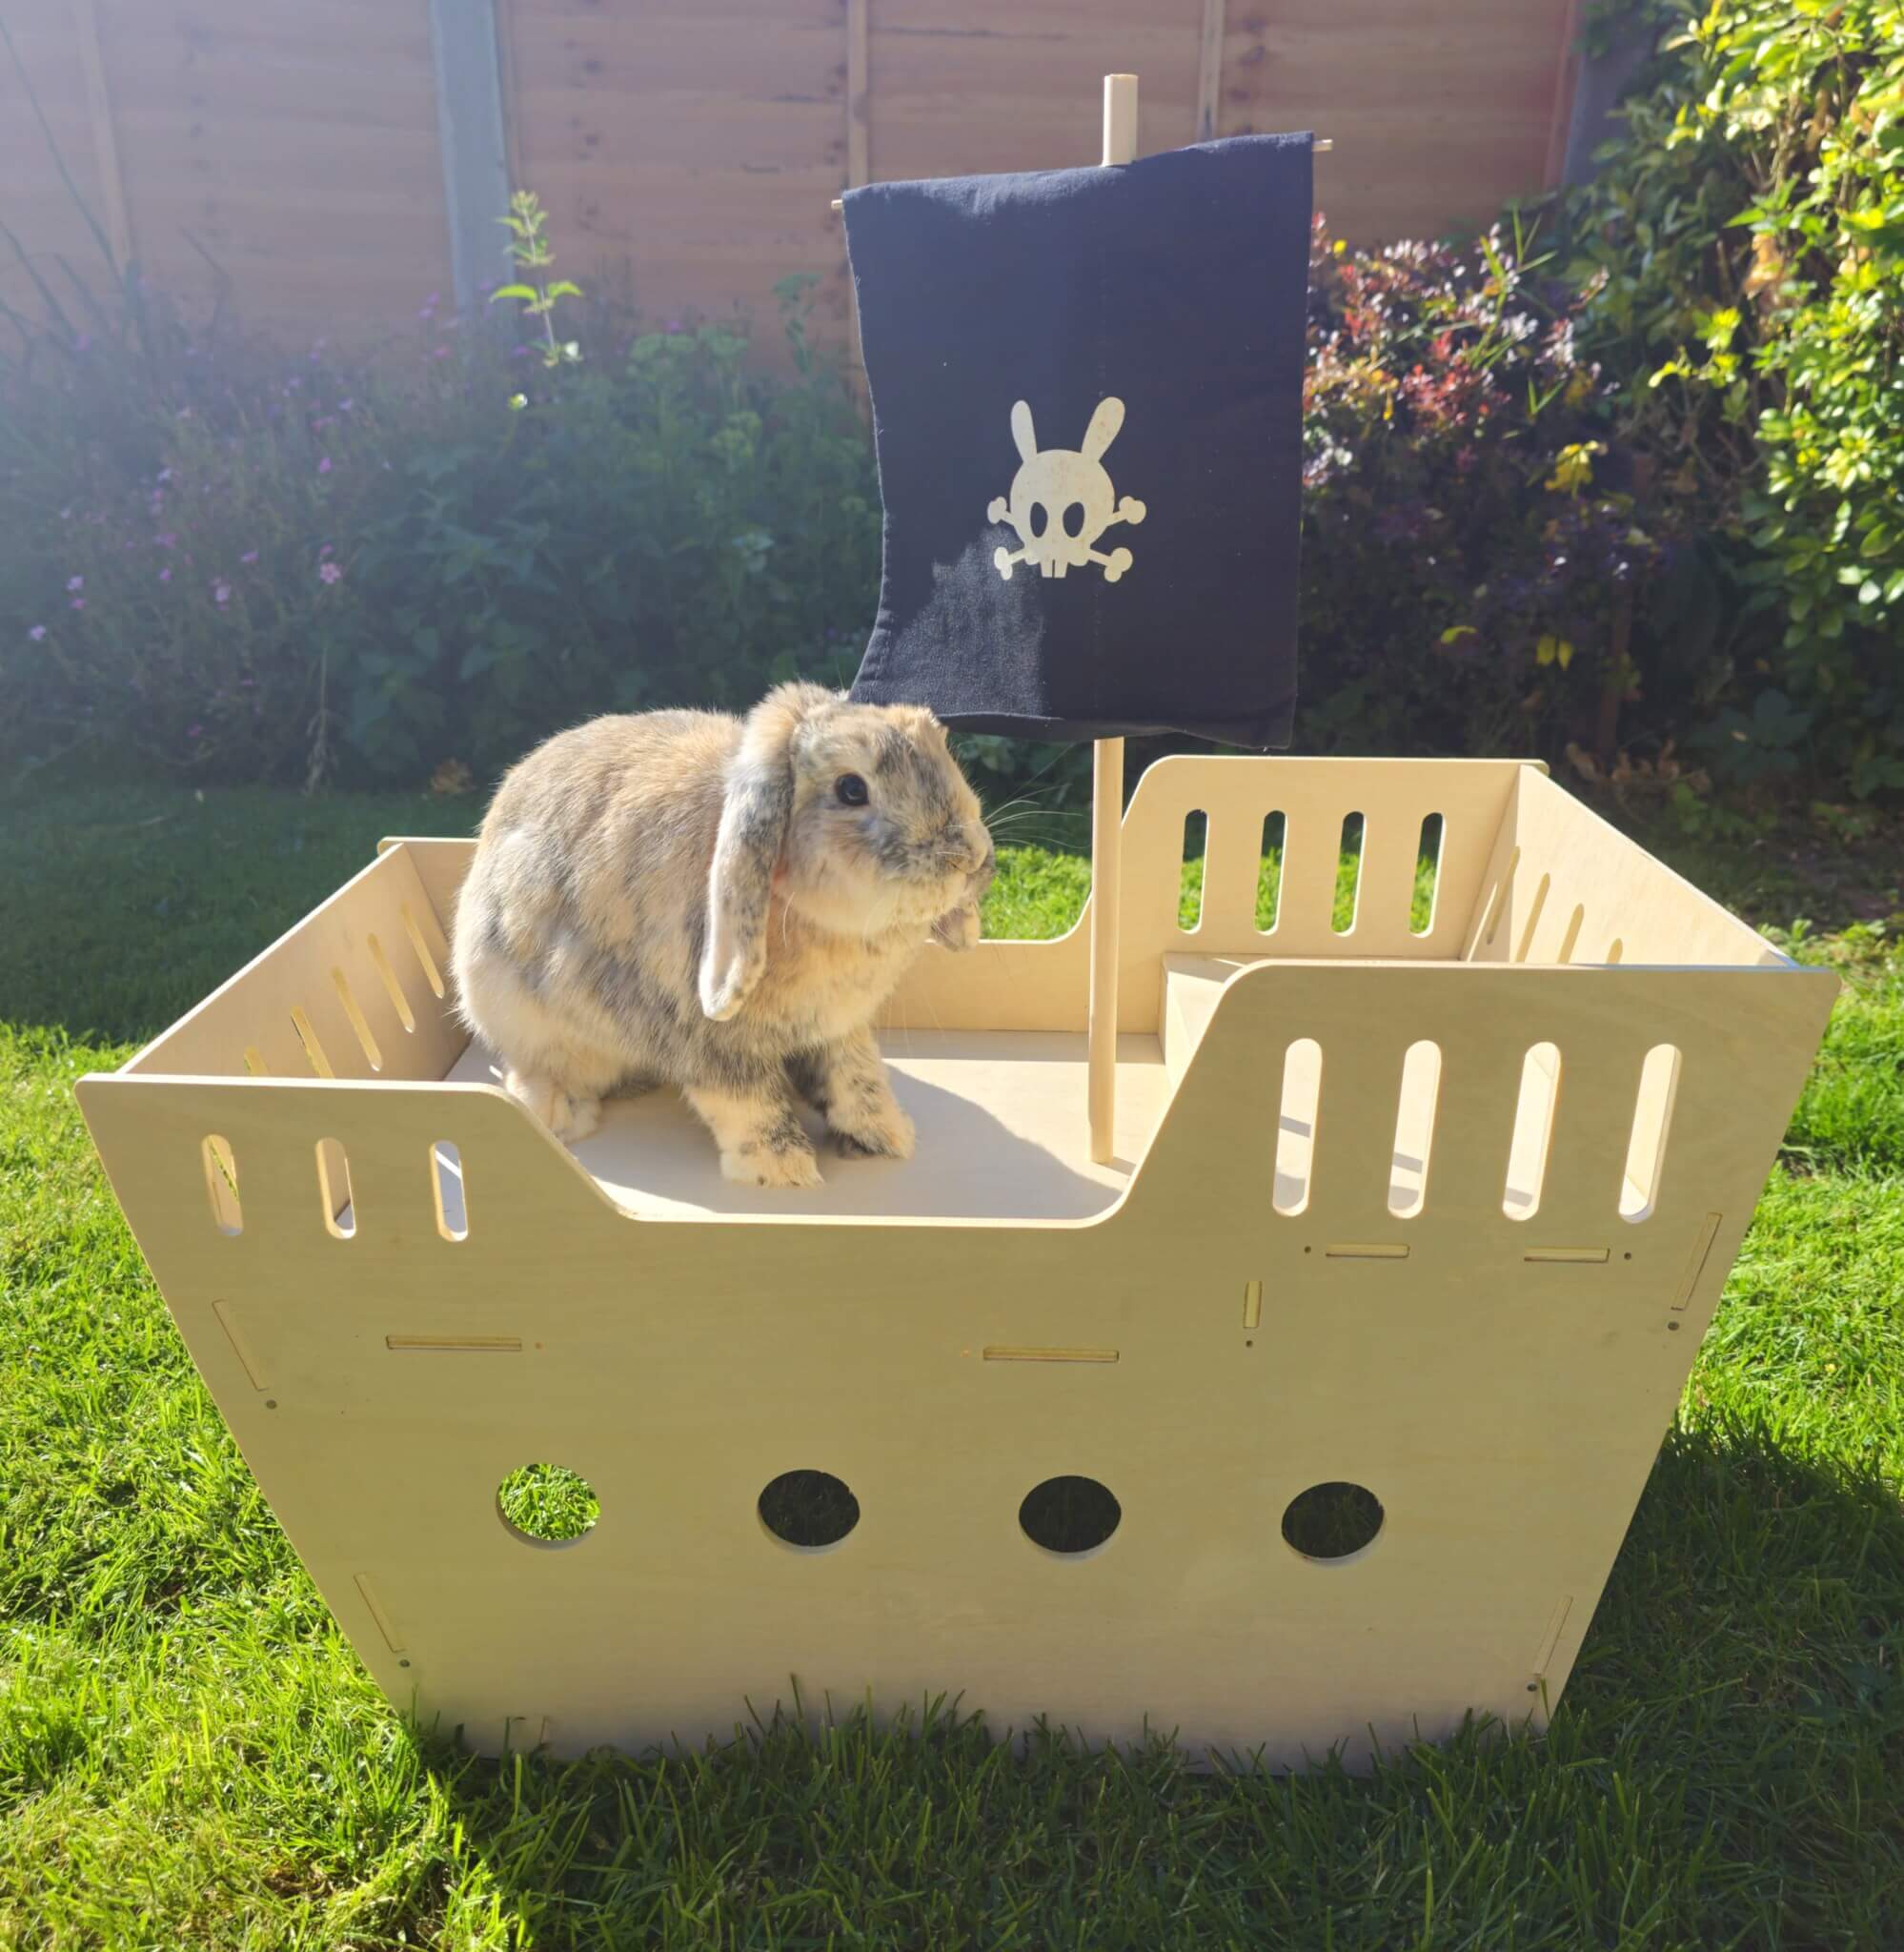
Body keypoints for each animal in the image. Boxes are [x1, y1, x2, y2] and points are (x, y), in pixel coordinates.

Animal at [451, 681, 994, 1188]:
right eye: (851, 789)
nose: (970, 859)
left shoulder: (838, 1028)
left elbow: (857, 1078)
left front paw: (887, 1137)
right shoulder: (710, 1041)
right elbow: (748, 1102)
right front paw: (784, 1171)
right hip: (515, 1009)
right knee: (534, 1067)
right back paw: (559, 1114)